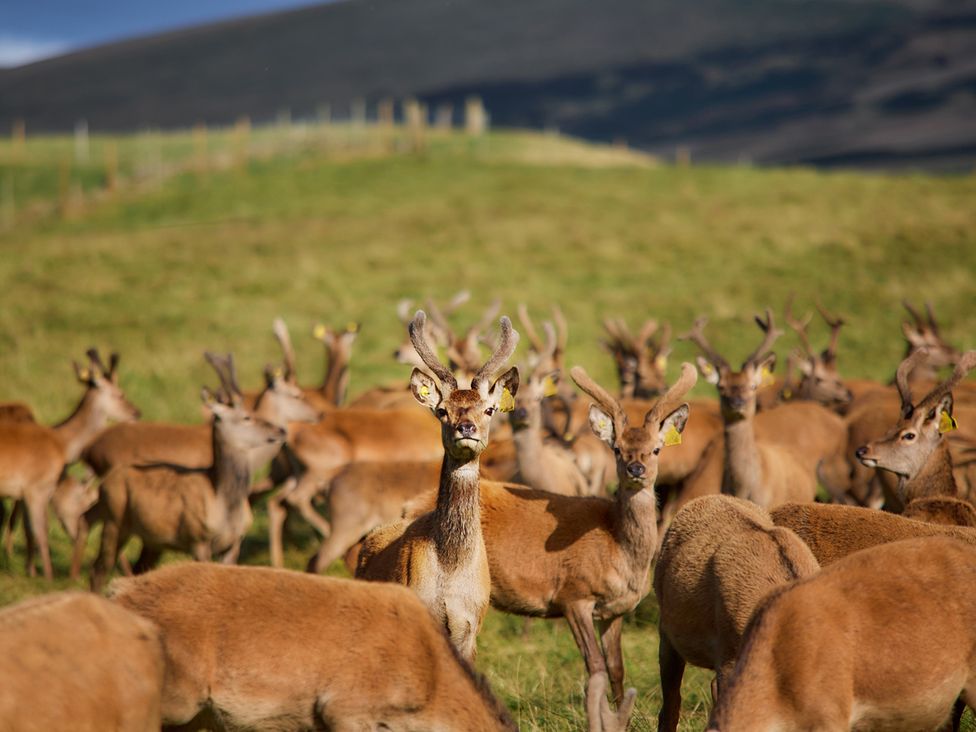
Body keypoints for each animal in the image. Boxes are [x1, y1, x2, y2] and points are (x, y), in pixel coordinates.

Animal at [0, 349, 140, 579]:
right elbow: (40, 529)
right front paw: (47, 576)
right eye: (120, 394)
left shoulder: (29, 492)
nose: (136, 413)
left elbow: (28, 528)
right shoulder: (35, 488)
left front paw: (29, 570)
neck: (62, 442)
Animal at [87, 354, 286, 591]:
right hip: (114, 521)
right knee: (99, 569)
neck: (224, 504)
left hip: (152, 539)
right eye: (247, 417)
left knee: (139, 567)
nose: (281, 430)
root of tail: (104, 483)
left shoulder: (234, 543)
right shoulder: (197, 538)